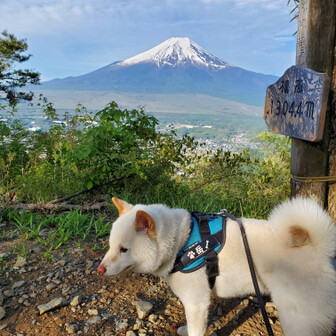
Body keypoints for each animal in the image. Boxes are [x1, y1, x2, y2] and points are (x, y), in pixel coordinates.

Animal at [97, 197, 336, 336]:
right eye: (110, 245)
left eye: (124, 250)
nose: (99, 270)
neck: (180, 243)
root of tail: (318, 249)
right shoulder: (196, 303)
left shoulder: (197, 302)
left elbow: (196, 330)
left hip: (298, 319)